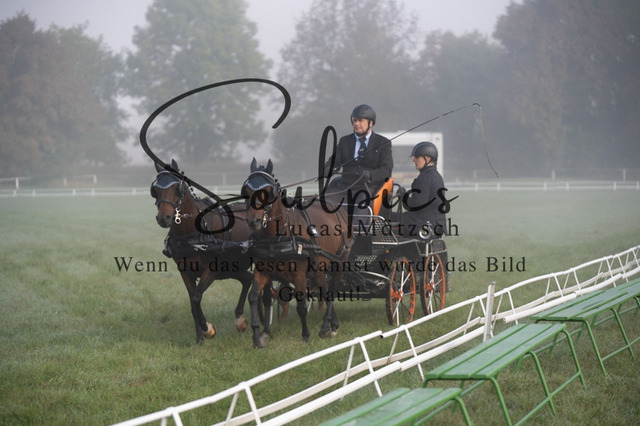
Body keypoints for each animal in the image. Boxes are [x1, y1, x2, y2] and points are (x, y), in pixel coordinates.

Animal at [151, 160, 263, 342]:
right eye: (155, 189)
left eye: (177, 188)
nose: (164, 218)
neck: (191, 235)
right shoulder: (185, 271)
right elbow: (192, 303)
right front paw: (199, 338)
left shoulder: (211, 270)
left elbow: (197, 297)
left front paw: (207, 328)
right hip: (233, 267)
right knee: (248, 279)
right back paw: (240, 319)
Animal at [242, 158, 352, 348]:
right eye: (246, 191)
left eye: (268, 191)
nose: (253, 221)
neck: (278, 235)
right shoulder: (262, 271)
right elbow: (253, 297)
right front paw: (258, 337)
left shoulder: (299, 274)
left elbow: (301, 306)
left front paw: (305, 335)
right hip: (318, 267)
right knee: (324, 288)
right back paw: (333, 324)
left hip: (339, 262)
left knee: (331, 290)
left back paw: (325, 327)